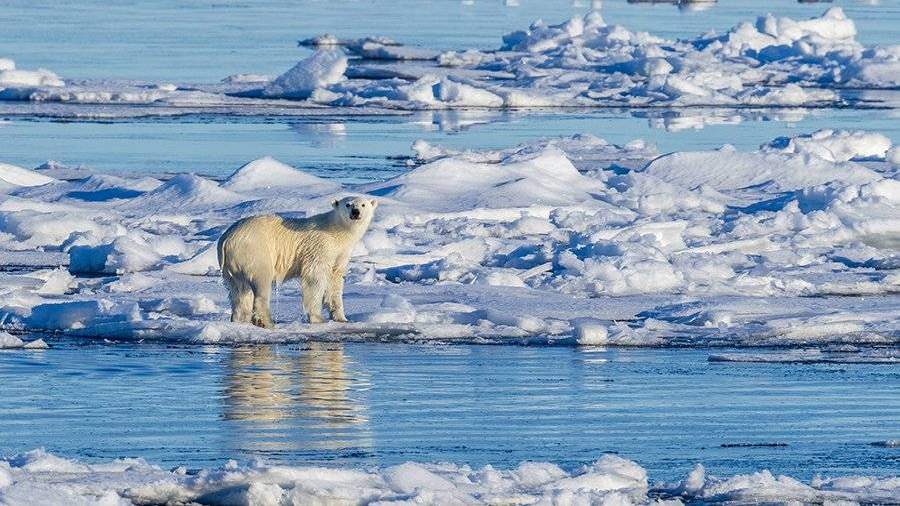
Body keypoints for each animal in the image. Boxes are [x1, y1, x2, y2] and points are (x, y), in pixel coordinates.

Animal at [220, 194, 378, 328]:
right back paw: (266, 321)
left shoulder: (340, 254)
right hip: (256, 250)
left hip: (233, 264)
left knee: (239, 291)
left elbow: (335, 281)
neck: (336, 231)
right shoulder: (320, 246)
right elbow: (315, 278)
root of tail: (226, 238)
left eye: (363, 204)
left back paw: (239, 319)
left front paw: (341, 318)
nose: (356, 212)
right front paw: (318, 318)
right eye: (348, 204)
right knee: (261, 281)